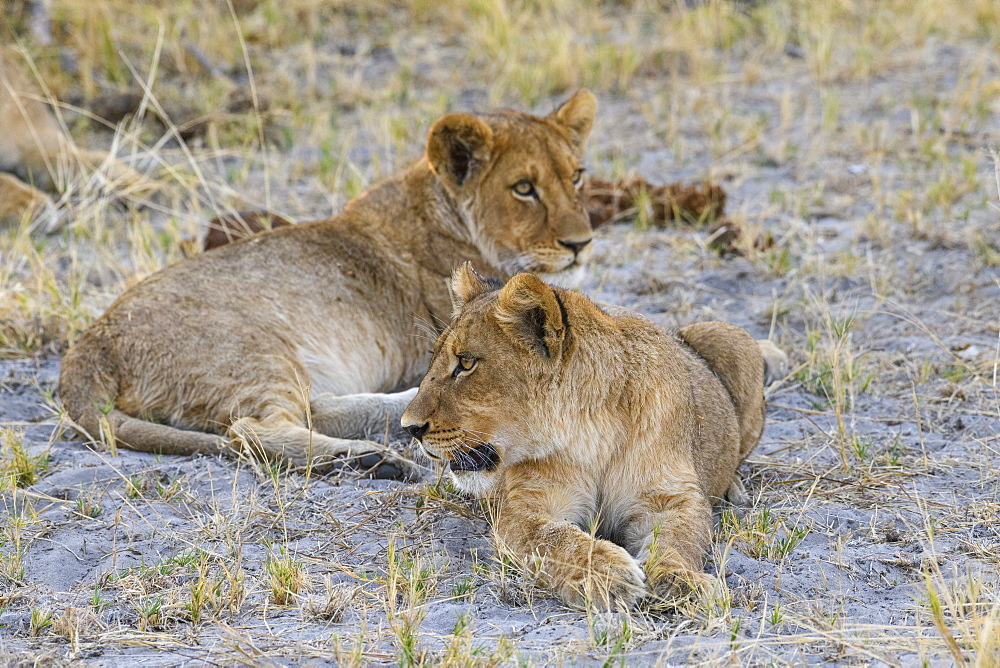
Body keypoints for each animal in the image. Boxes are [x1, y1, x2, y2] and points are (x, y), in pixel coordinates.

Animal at [58, 91, 596, 472]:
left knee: (318, 409)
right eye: (523, 189)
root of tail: (88, 344)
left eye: (576, 177)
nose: (582, 243)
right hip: (255, 352)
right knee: (251, 430)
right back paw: (368, 459)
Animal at [400, 264, 772, 608]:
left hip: (730, 336)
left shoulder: (672, 496)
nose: (410, 427)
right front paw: (605, 574)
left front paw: (681, 581)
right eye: (435, 360)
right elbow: (555, 539)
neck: (595, 430)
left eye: (466, 363)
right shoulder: (525, 506)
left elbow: (676, 540)